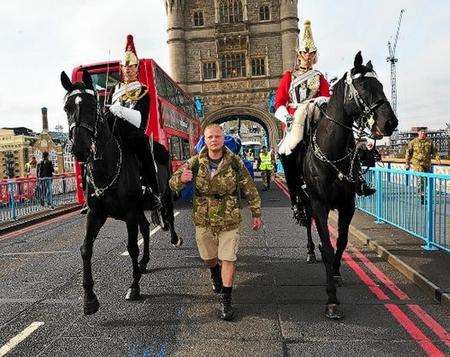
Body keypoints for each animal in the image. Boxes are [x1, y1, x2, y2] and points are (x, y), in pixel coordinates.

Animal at [60, 70, 182, 314]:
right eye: (67, 107)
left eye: (92, 106)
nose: (79, 148)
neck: (107, 167)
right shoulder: (96, 214)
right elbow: (86, 249)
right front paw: (89, 298)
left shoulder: (129, 213)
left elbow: (132, 247)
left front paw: (134, 287)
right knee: (146, 228)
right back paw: (144, 263)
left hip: (163, 194)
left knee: (167, 214)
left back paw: (173, 239)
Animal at [298, 52, 398, 318]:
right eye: (363, 86)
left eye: (381, 84)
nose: (390, 122)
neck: (333, 152)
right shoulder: (320, 204)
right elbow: (327, 246)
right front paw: (332, 300)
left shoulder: (347, 205)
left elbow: (341, 242)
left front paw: (335, 273)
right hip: (306, 200)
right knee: (309, 226)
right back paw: (311, 251)